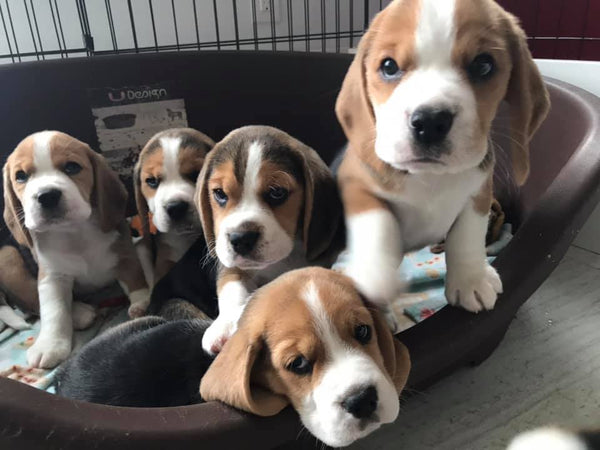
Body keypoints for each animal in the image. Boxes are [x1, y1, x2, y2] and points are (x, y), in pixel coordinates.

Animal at [2, 131, 150, 370]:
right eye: (21, 176)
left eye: (72, 167)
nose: (47, 195)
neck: (74, 232)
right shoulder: (51, 276)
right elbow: (53, 310)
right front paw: (49, 345)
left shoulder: (124, 254)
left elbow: (135, 280)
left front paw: (142, 302)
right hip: (8, 257)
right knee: (32, 298)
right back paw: (80, 313)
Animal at [197, 125, 344, 356]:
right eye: (219, 194)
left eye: (277, 192)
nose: (240, 238)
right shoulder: (229, 264)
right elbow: (231, 286)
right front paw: (225, 325)